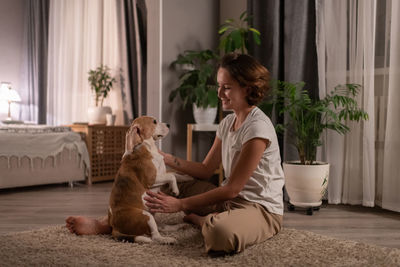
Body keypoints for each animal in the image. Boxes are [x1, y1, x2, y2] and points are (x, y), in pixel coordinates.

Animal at [108, 116, 179, 244]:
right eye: (154, 122)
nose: (169, 124)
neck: (148, 146)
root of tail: (114, 228)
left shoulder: (162, 174)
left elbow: (173, 174)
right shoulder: (152, 180)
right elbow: (172, 176)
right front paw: (175, 190)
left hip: (151, 214)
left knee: (160, 227)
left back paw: (174, 227)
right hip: (146, 215)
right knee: (155, 236)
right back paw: (167, 239)